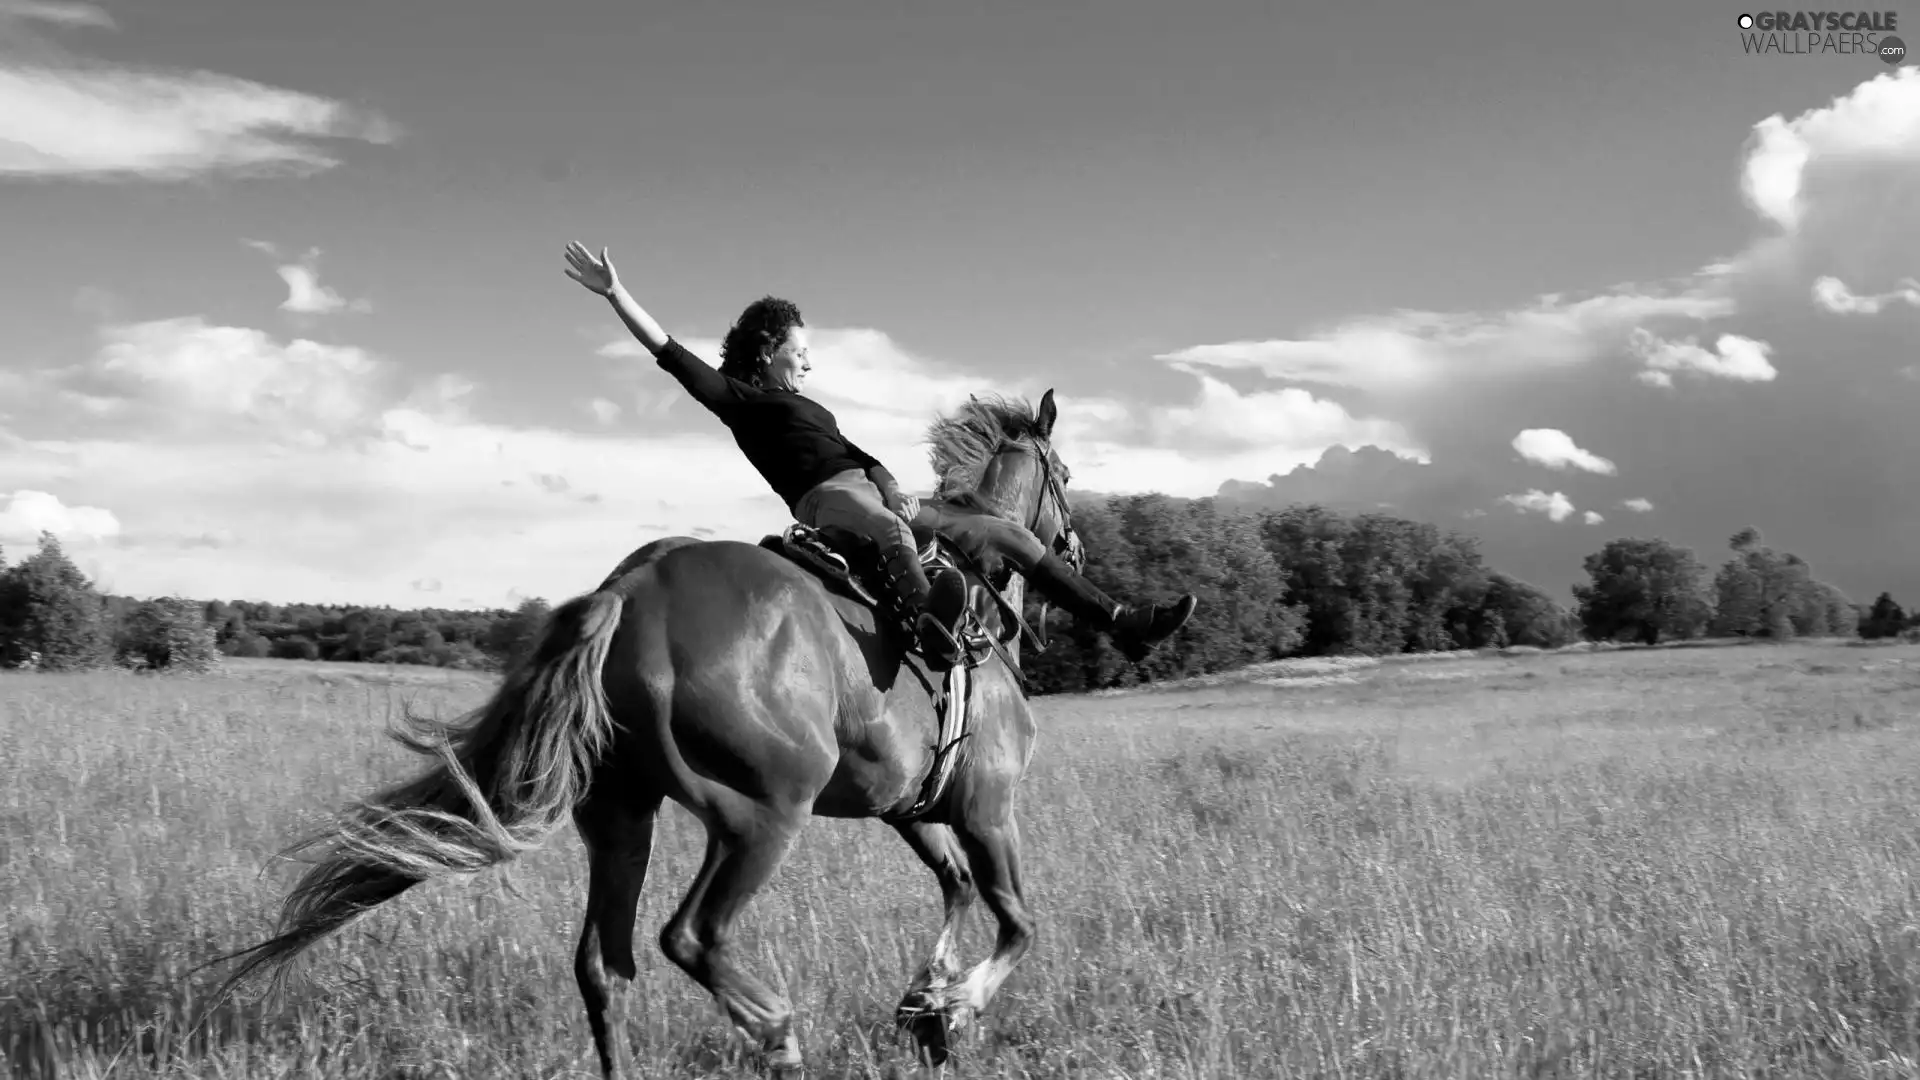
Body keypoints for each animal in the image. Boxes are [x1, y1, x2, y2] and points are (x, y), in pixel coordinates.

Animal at [217, 386, 1090, 1068]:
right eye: (1068, 476)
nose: (1075, 545)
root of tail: (630, 591)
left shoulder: (914, 809)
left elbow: (957, 887)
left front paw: (926, 1001)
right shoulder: (987, 808)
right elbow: (1017, 921)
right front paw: (952, 1008)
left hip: (620, 818)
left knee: (603, 965)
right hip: (759, 819)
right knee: (691, 937)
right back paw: (777, 1031)